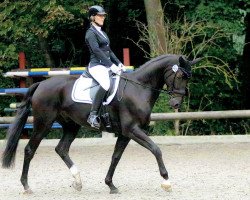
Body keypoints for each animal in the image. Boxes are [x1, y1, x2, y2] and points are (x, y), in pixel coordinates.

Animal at [0, 54, 200, 194]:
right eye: (180, 76)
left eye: (188, 78)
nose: (176, 104)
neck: (138, 88)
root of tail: (40, 85)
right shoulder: (132, 130)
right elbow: (156, 149)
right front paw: (166, 182)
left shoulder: (125, 133)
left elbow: (115, 157)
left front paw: (110, 185)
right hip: (44, 123)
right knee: (29, 150)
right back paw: (26, 186)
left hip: (71, 126)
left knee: (61, 149)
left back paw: (78, 181)